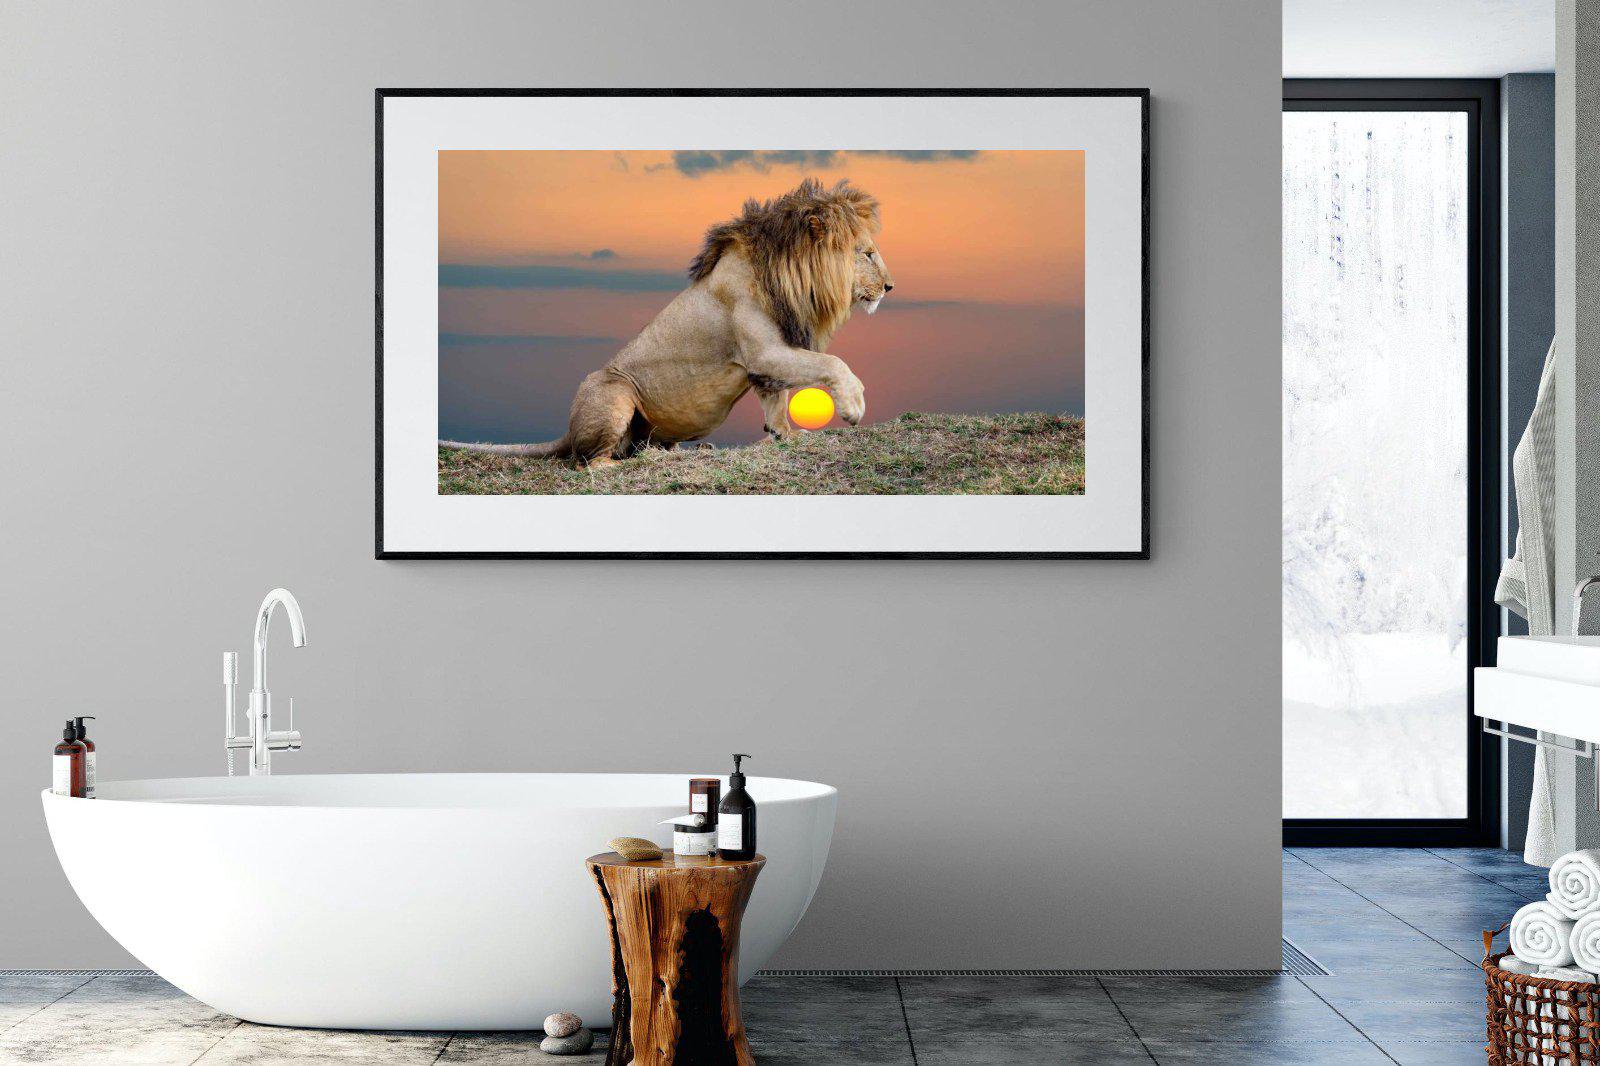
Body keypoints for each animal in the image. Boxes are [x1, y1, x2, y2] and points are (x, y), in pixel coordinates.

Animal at [439, 178, 893, 467]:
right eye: (867, 253)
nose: (890, 286)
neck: (792, 278)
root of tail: (568, 430)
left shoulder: (768, 358)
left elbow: (776, 399)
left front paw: (787, 434)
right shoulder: (765, 350)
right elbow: (831, 363)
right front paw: (853, 405)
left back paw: (665, 451)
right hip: (614, 390)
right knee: (589, 462)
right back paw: (631, 463)